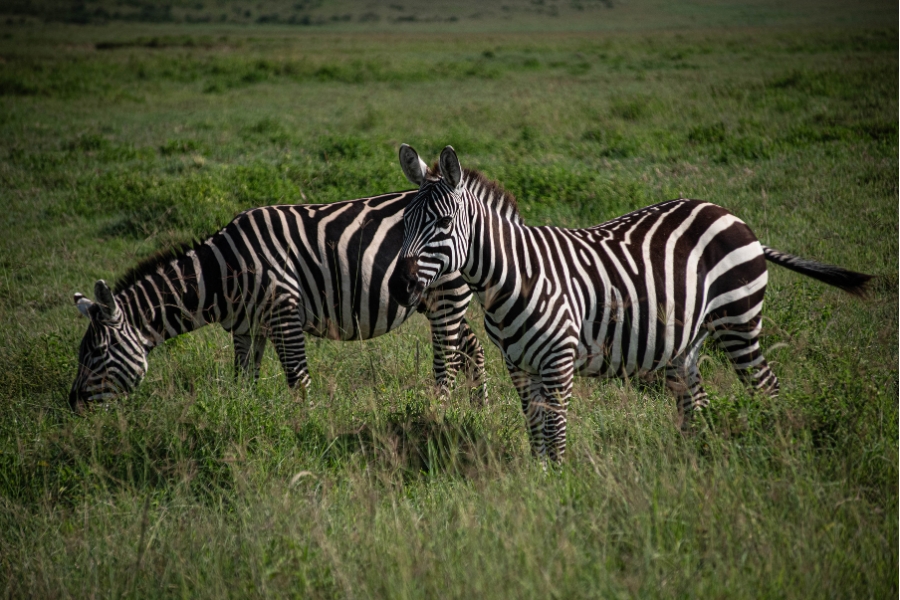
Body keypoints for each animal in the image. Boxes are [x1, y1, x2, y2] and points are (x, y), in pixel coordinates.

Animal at [69, 190, 495, 412]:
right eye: (82, 353)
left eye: (97, 353)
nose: (73, 405)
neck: (224, 273)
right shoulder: (246, 327)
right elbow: (243, 381)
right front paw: (243, 422)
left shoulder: (283, 312)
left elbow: (298, 381)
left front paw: (305, 430)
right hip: (439, 299)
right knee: (472, 348)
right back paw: (480, 410)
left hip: (445, 295)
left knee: (452, 356)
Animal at [389, 144, 872, 462]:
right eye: (405, 221)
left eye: (443, 222)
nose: (400, 286)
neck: (514, 276)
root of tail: (731, 215)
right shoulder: (517, 364)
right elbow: (534, 429)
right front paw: (537, 481)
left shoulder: (559, 360)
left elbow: (555, 431)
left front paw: (556, 490)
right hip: (686, 341)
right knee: (697, 403)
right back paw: (696, 461)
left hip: (738, 322)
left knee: (766, 388)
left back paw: (774, 451)